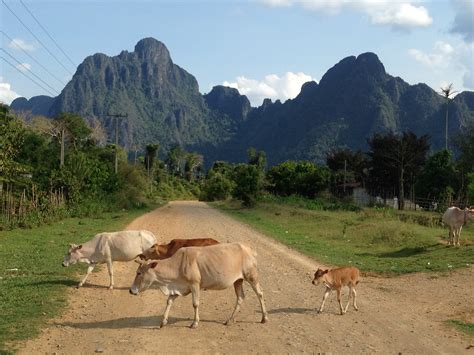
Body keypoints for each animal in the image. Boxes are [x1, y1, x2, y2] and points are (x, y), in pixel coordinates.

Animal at [130, 243, 268, 330]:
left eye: (139, 273)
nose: (131, 290)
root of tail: (248, 248)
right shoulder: (179, 288)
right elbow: (169, 301)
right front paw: (163, 322)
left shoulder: (195, 284)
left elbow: (195, 304)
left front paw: (195, 323)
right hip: (238, 281)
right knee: (240, 297)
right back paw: (230, 320)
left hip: (251, 276)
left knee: (260, 293)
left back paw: (264, 318)